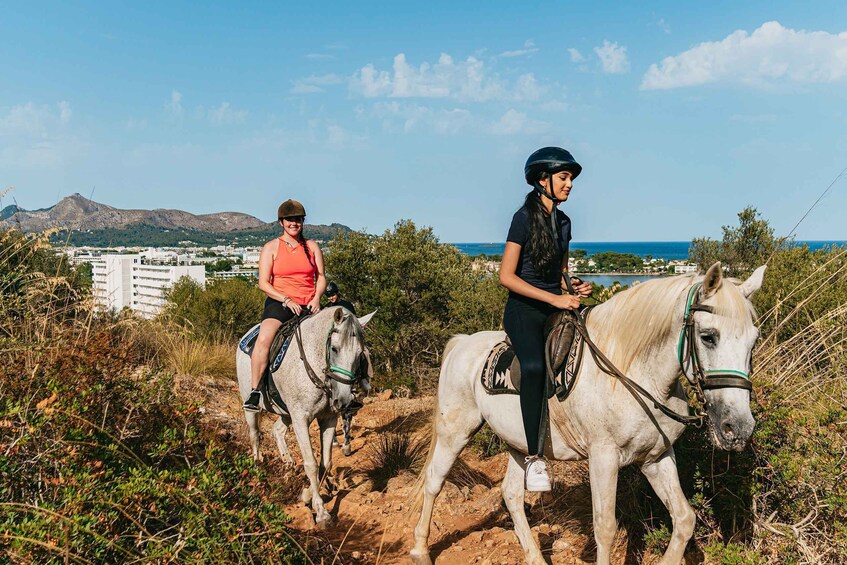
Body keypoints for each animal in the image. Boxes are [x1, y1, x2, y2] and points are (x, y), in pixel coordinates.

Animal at [235, 306, 374, 528]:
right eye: (334, 349)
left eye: (360, 354)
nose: (344, 400)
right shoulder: (300, 418)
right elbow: (311, 463)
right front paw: (321, 512)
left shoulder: (328, 418)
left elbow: (326, 463)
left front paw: (308, 494)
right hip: (251, 408)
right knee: (255, 435)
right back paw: (257, 468)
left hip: (285, 412)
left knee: (277, 431)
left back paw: (288, 463)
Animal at [412, 264, 768, 564]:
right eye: (708, 336)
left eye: (754, 341)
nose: (738, 427)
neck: (632, 373)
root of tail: (461, 343)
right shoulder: (604, 458)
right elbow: (605, 527)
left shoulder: (656, 457)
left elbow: (684, 519)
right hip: (455, 432)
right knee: (434, 481)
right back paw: (420, 550)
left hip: (518, 444)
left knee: (511, 495)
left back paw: (535, 557)